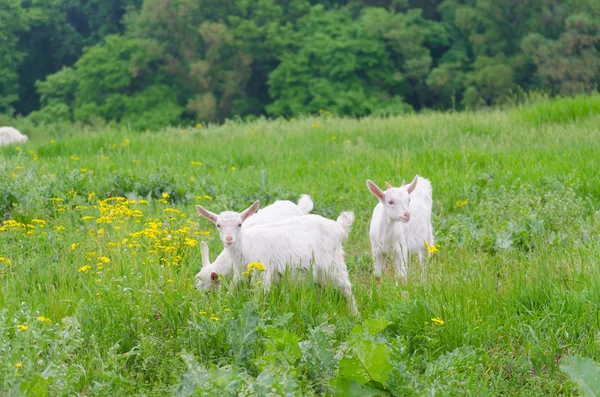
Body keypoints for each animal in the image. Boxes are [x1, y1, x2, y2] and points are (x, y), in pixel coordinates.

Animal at [196, 201, 356, 312]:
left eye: (239, 224)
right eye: (218, 225)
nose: (229, 239)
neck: (246, 245)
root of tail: (338, 227)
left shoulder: (262, 272)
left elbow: (258, 295)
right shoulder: (240, 274)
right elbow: (232, 290)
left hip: (333, 264)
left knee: (346, 287)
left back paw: (354, 314)